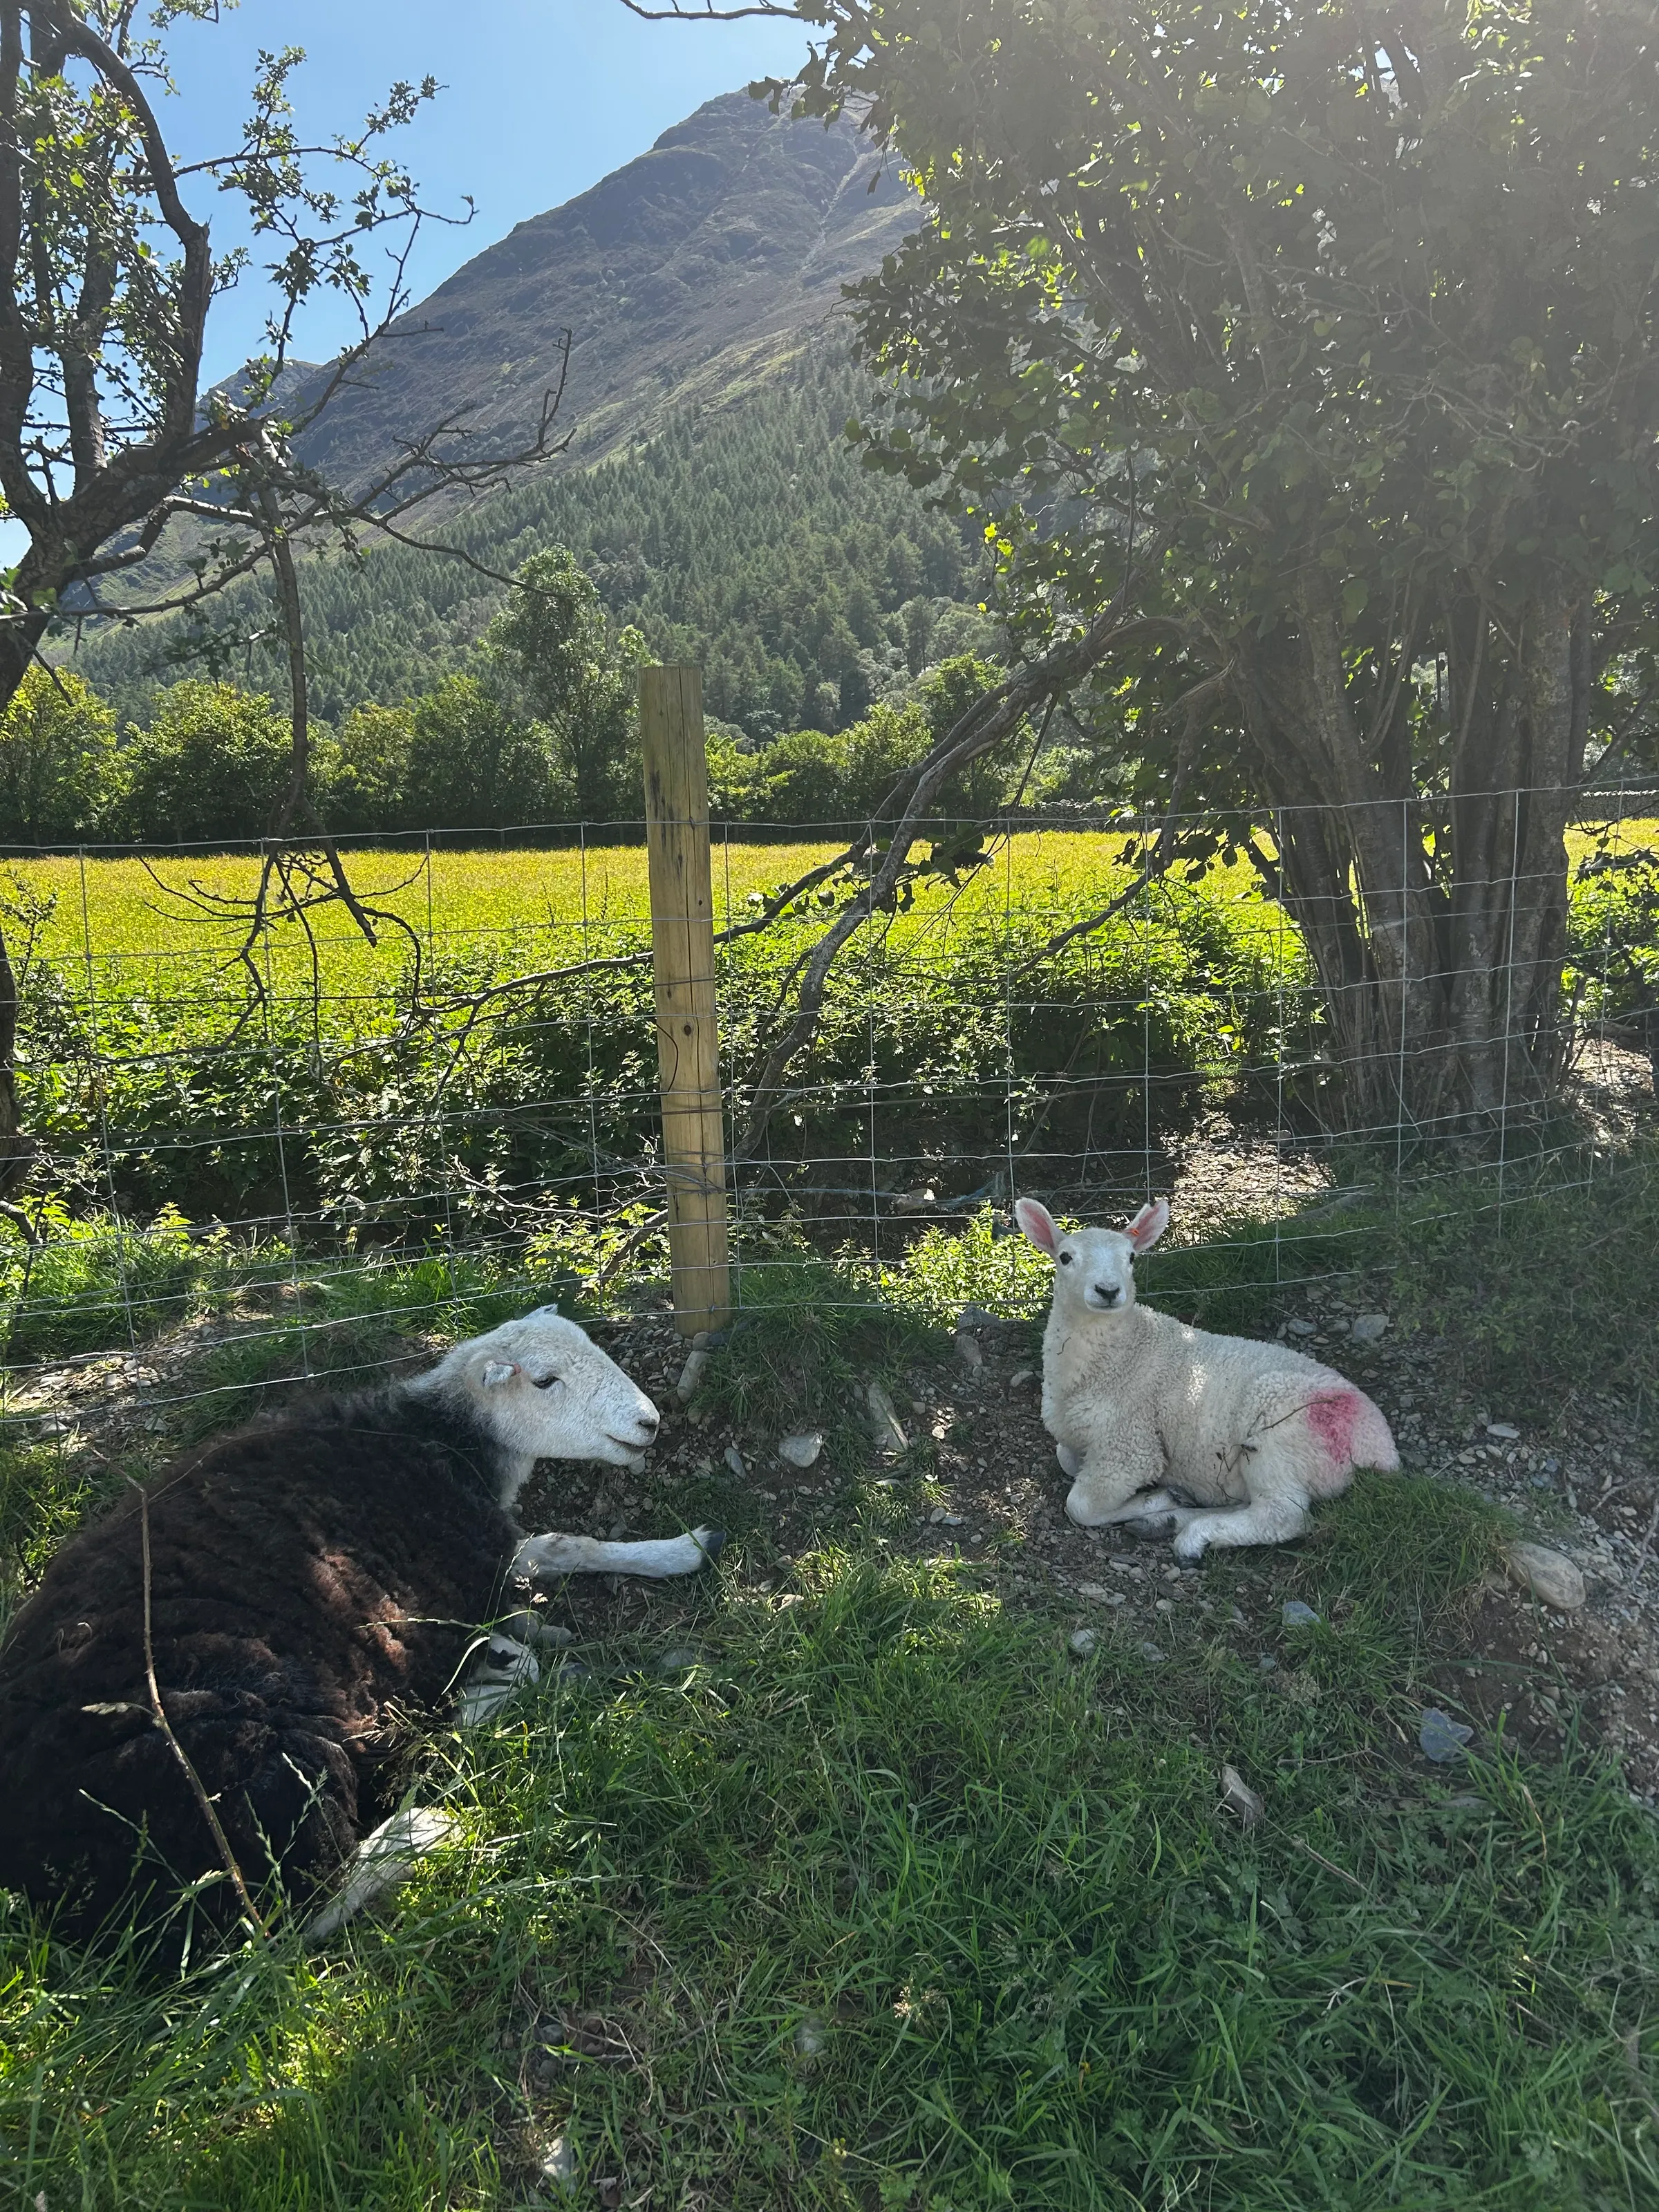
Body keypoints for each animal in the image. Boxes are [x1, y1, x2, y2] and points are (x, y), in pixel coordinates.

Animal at [0, 1305, 721, 1952]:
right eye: (544, 1381)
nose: (649, 1422)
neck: (437, 1436)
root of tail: (37, 1882)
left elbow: (560, 1547)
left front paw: (680, 1548)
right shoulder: (459, 1569)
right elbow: (543, 1581)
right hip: (256, 1760)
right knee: (289, 1920)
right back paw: (430, 1811)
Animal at [1015, 1198, 1398, 1560]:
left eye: (1132, 1258)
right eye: (1065, 1257)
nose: (1108, 1291)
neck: (1120, 1356)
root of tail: (1380, 1449)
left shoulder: (1129, 1447)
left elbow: (1080, 1506)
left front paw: (1154, 1499)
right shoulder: (1076, 1437)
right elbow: (1066, 1459)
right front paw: (1167, 1501)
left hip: (1281, 1433)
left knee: (1284, 1515)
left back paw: (1195, 1537)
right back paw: (1173, 1519)